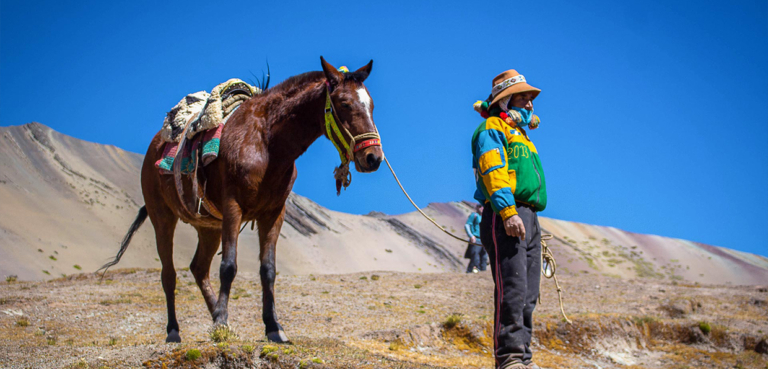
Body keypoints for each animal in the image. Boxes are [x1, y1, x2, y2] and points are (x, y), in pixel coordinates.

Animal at [103, 57, 384, 342]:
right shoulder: (233, 207)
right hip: (163, 218)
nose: (373, 157)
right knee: (169, 274)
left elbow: (268, 269)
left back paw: (216, 315)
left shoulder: (273, 213)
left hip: (208, 228)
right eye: (345, 103)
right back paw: (175, 330)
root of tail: (154, 149)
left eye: (371, 105)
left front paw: (272, 327)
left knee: (198, 268)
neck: (267, 144)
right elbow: (228, 266)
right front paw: (222, 322)